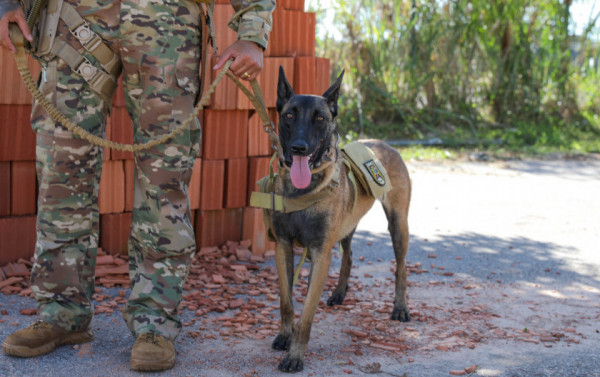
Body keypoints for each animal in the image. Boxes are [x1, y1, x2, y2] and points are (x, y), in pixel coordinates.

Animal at [264, 67, 410, 370]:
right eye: (289, 115)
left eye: (320, 118)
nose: (299, 147)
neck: (303, 190)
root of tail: (384, 143)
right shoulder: (282, 246)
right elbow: (286, 302)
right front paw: (284, 336)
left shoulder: (320, 254)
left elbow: (307, 312)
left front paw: (295, 355)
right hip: (347, 228)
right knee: (349, 255)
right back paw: (340, 292)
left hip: (398, 225)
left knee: (401, 267)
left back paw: (400, 307)